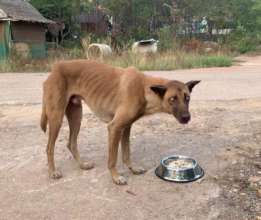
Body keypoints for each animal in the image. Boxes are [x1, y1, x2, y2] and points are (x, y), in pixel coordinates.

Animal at [40, 59, 199, 185]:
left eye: (187, 98)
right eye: (172, 99)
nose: (187, 118)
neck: (144, 88)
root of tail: (55, 67)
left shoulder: (126, 127)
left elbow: (126, 153)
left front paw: (133, 169)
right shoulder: (114, 127)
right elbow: (113, 158)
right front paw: (115, 177)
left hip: (76, 117)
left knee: (71, 143)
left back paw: (82, 165)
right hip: (56, 118)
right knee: (49, 148)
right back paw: (52, 172)